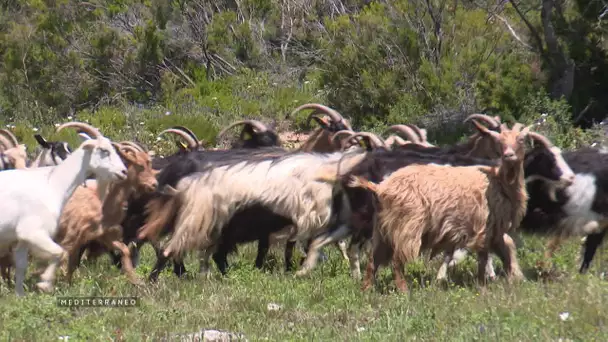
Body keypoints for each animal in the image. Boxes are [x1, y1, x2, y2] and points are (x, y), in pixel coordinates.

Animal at [0, 121, 127, 296]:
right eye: (104, 150)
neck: (52, 184)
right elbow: (59, 252)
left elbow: (21, 267)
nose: (123, 172)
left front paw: (20, 295)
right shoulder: (34, 232)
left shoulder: (22, 239)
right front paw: (45, 283)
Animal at [350, 120, 536, 292]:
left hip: (382, 229)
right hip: (406, 226)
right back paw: (404, 291)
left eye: (521, 140)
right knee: (397, 261)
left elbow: (505, 252)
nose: (508, 155)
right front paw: (483, 286)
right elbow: (484, 258)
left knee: (374, 260)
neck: (498, 180)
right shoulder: (484, 227)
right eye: (499, 142)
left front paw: (513, 279)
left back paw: (366, 289)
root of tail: (380, 187)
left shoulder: (494, 231)